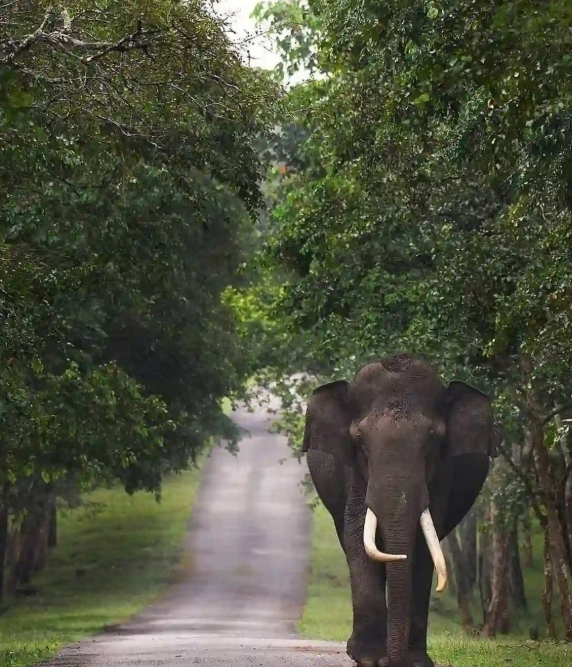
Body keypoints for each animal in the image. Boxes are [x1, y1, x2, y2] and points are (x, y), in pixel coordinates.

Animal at [302, 354, 496, 667]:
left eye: (432, 439)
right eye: (360, 440)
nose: (391, 662)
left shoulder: (441, 476)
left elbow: (425, 546)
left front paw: (414, 661)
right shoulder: (354, 473)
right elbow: (357, 534)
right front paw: (368, 658)